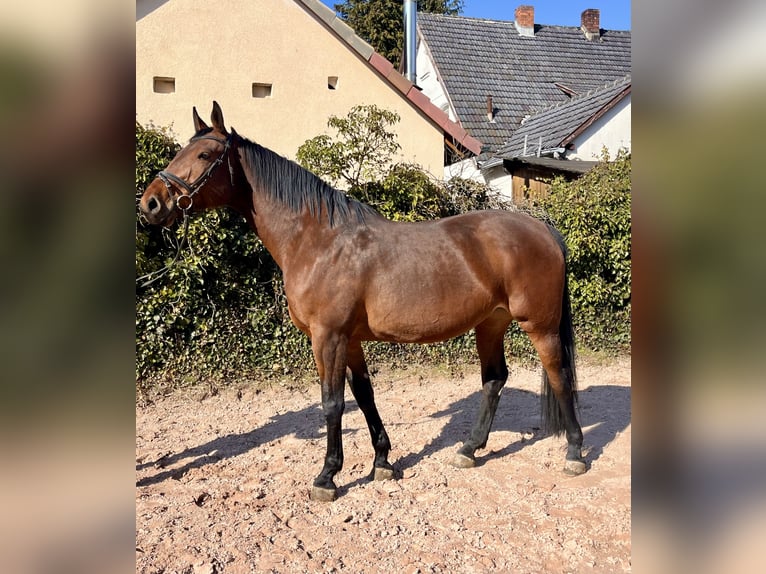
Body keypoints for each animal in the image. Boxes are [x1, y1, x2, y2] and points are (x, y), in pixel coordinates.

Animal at [138, 102, 586, 501]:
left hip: (540, 326)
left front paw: (327, 476)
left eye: (204, 154)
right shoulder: (350, 340)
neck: (317, 239)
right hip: (490, 323)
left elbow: (332, 402)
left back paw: (575, 453)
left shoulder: (329, 337)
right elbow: (364, 395)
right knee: (494, 379)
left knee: (560, 376)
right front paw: (382, 462)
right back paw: (468, 449)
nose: (151, 203)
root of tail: (542, 229)